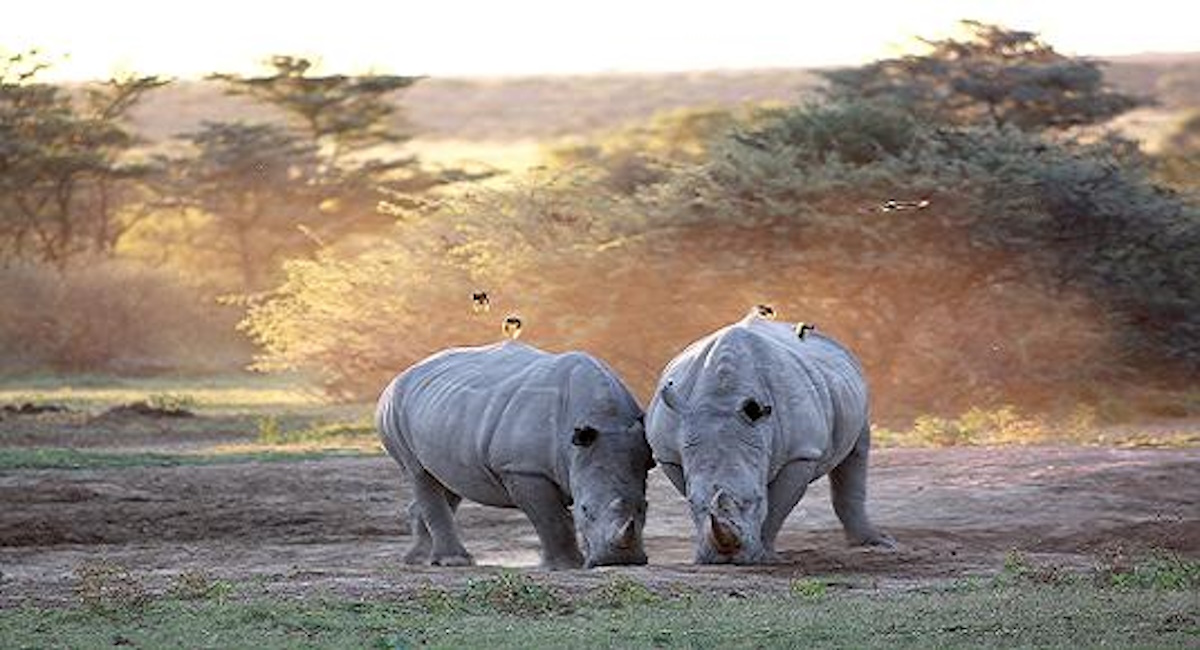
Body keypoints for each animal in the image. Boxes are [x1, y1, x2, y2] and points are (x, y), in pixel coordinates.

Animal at [376, 342, 652, 568]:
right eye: (585, 510)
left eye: (644, 507)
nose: (619, 561)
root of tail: (403, 374)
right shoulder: (523, 468)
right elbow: (552, 519)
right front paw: (566, 566)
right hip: (393, 409)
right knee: (419, 473)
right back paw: (453, 562)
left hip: (441, 410)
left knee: (448, 481)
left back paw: (418, 560)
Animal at [648, 314, 892, 566]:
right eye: (692, 504)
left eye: (755, 500)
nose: (725, 559)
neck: (722, 399)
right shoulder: (668, 455)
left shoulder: (801, 453)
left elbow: (776, 507)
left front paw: (764, 556)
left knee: (857, 449)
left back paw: (878, 543)